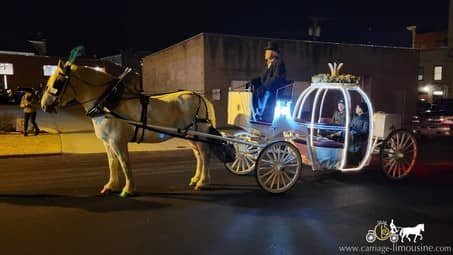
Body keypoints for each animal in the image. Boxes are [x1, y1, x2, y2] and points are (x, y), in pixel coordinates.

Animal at [40, 60, 215, 197]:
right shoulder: (107, 142)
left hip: (199, 135)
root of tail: (200, 97)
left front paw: (128, 189)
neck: (107, 103)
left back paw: (203, 182)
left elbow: (124, 163)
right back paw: (195, 178)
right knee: (198, 155)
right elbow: (112, 163)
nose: (43, 105)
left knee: (205, 155)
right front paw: (111, 186)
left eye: (57, 83)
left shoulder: (117, 141)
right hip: (190, 136)